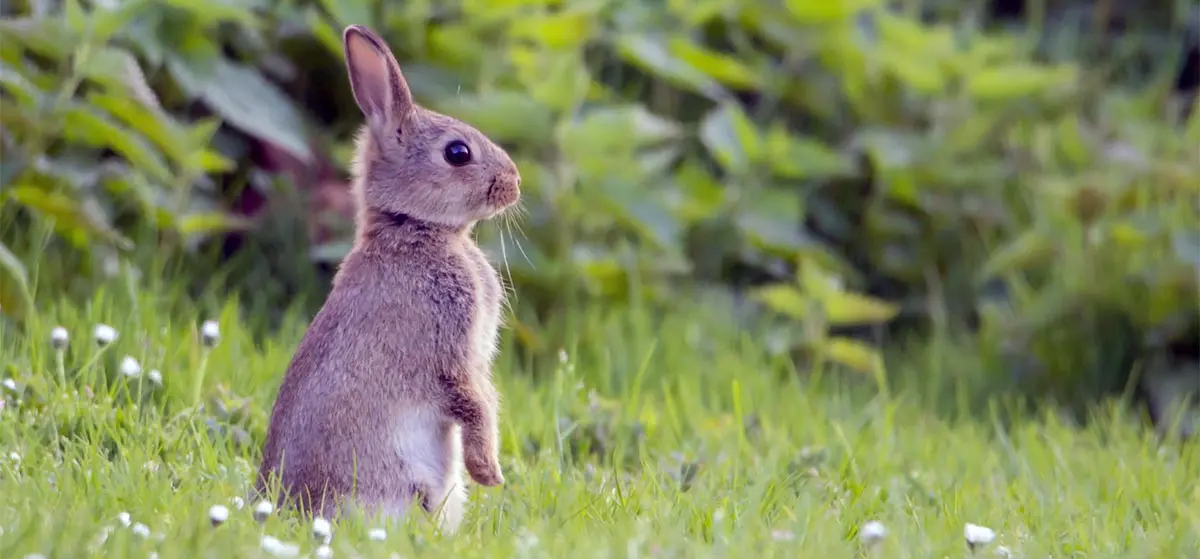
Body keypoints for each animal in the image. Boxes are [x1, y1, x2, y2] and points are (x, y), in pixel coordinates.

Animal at [253, 23, 520, 532]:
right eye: (458, 153)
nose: (515, 184)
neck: (413, 228)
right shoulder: (449, 349)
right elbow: (472, 402)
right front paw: (489, 473)